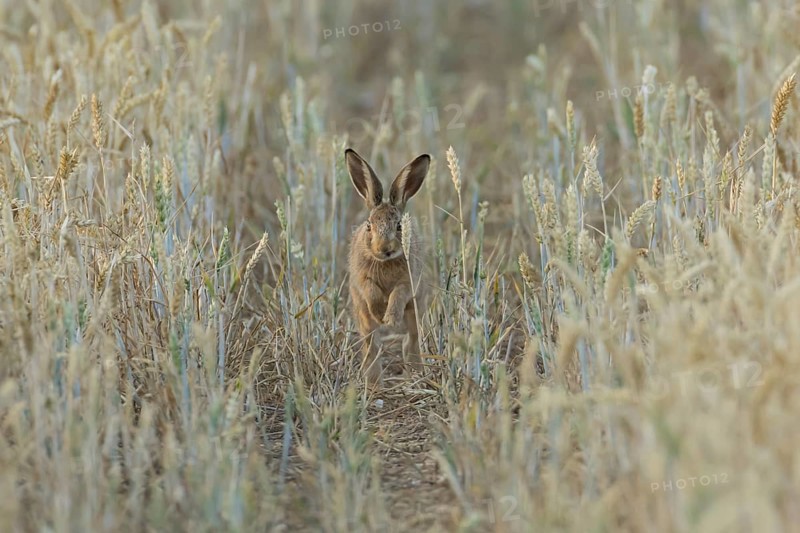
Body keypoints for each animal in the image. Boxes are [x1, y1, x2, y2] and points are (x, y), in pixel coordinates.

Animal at [345, 148, 430, 387]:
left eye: (399, 226)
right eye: (369, 226)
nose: (385, 249)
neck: (385, 262)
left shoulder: (408, 282)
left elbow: (398, 294)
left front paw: (390, 318)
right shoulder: (362, 280)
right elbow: (371, 290)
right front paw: (379, 312)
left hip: (416, 312)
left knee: (411, 341)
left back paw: (415, 374)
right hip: (363, 320)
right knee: (371, 348)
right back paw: (374, 384)